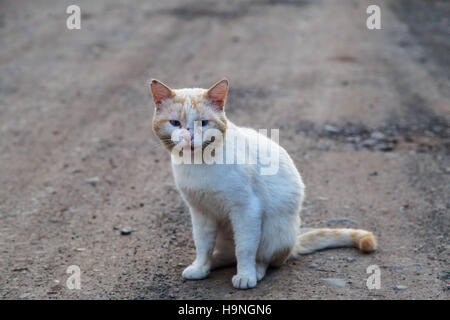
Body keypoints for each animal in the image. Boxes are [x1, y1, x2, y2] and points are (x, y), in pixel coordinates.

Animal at [150, 78, 376, 290]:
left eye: (203, 123)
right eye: (175, 123)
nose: (189, 137)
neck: (197, 163)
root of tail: (293, 240)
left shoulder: (247, 209)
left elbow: (245, 248)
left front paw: (245, 275)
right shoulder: (200, 212)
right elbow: (203, 244)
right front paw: (201, 267)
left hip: (272, 230)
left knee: (264, 258)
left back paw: (255, 271)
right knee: (227, 254)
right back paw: (214, 262)